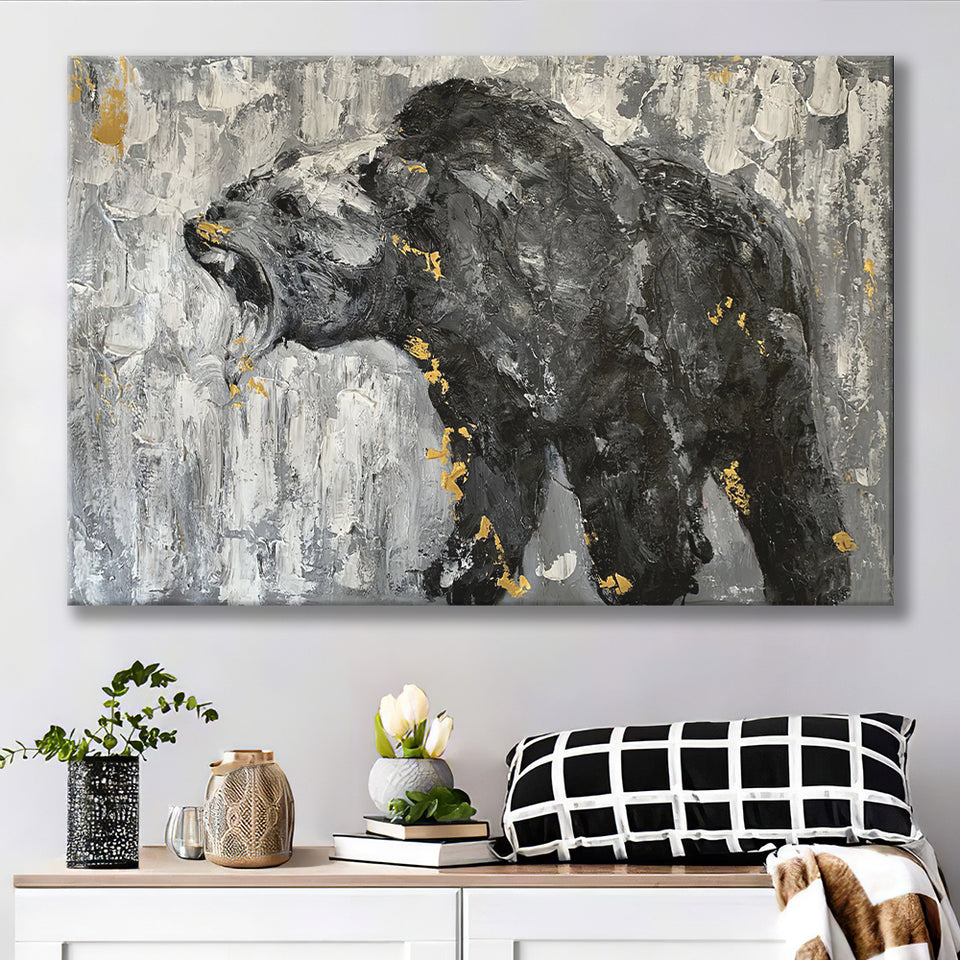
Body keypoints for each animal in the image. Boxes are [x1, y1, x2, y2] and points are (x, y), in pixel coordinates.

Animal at [184, 77, 851, 605]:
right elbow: (492, 492)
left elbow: (638, 497)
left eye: (287, 205)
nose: (199, 226)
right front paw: (458, 574)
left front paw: (649, 574)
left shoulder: (621, 375)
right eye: (244, 184)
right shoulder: (479, 388)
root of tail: (778, 230)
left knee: (791, 484)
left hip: (762, 369)